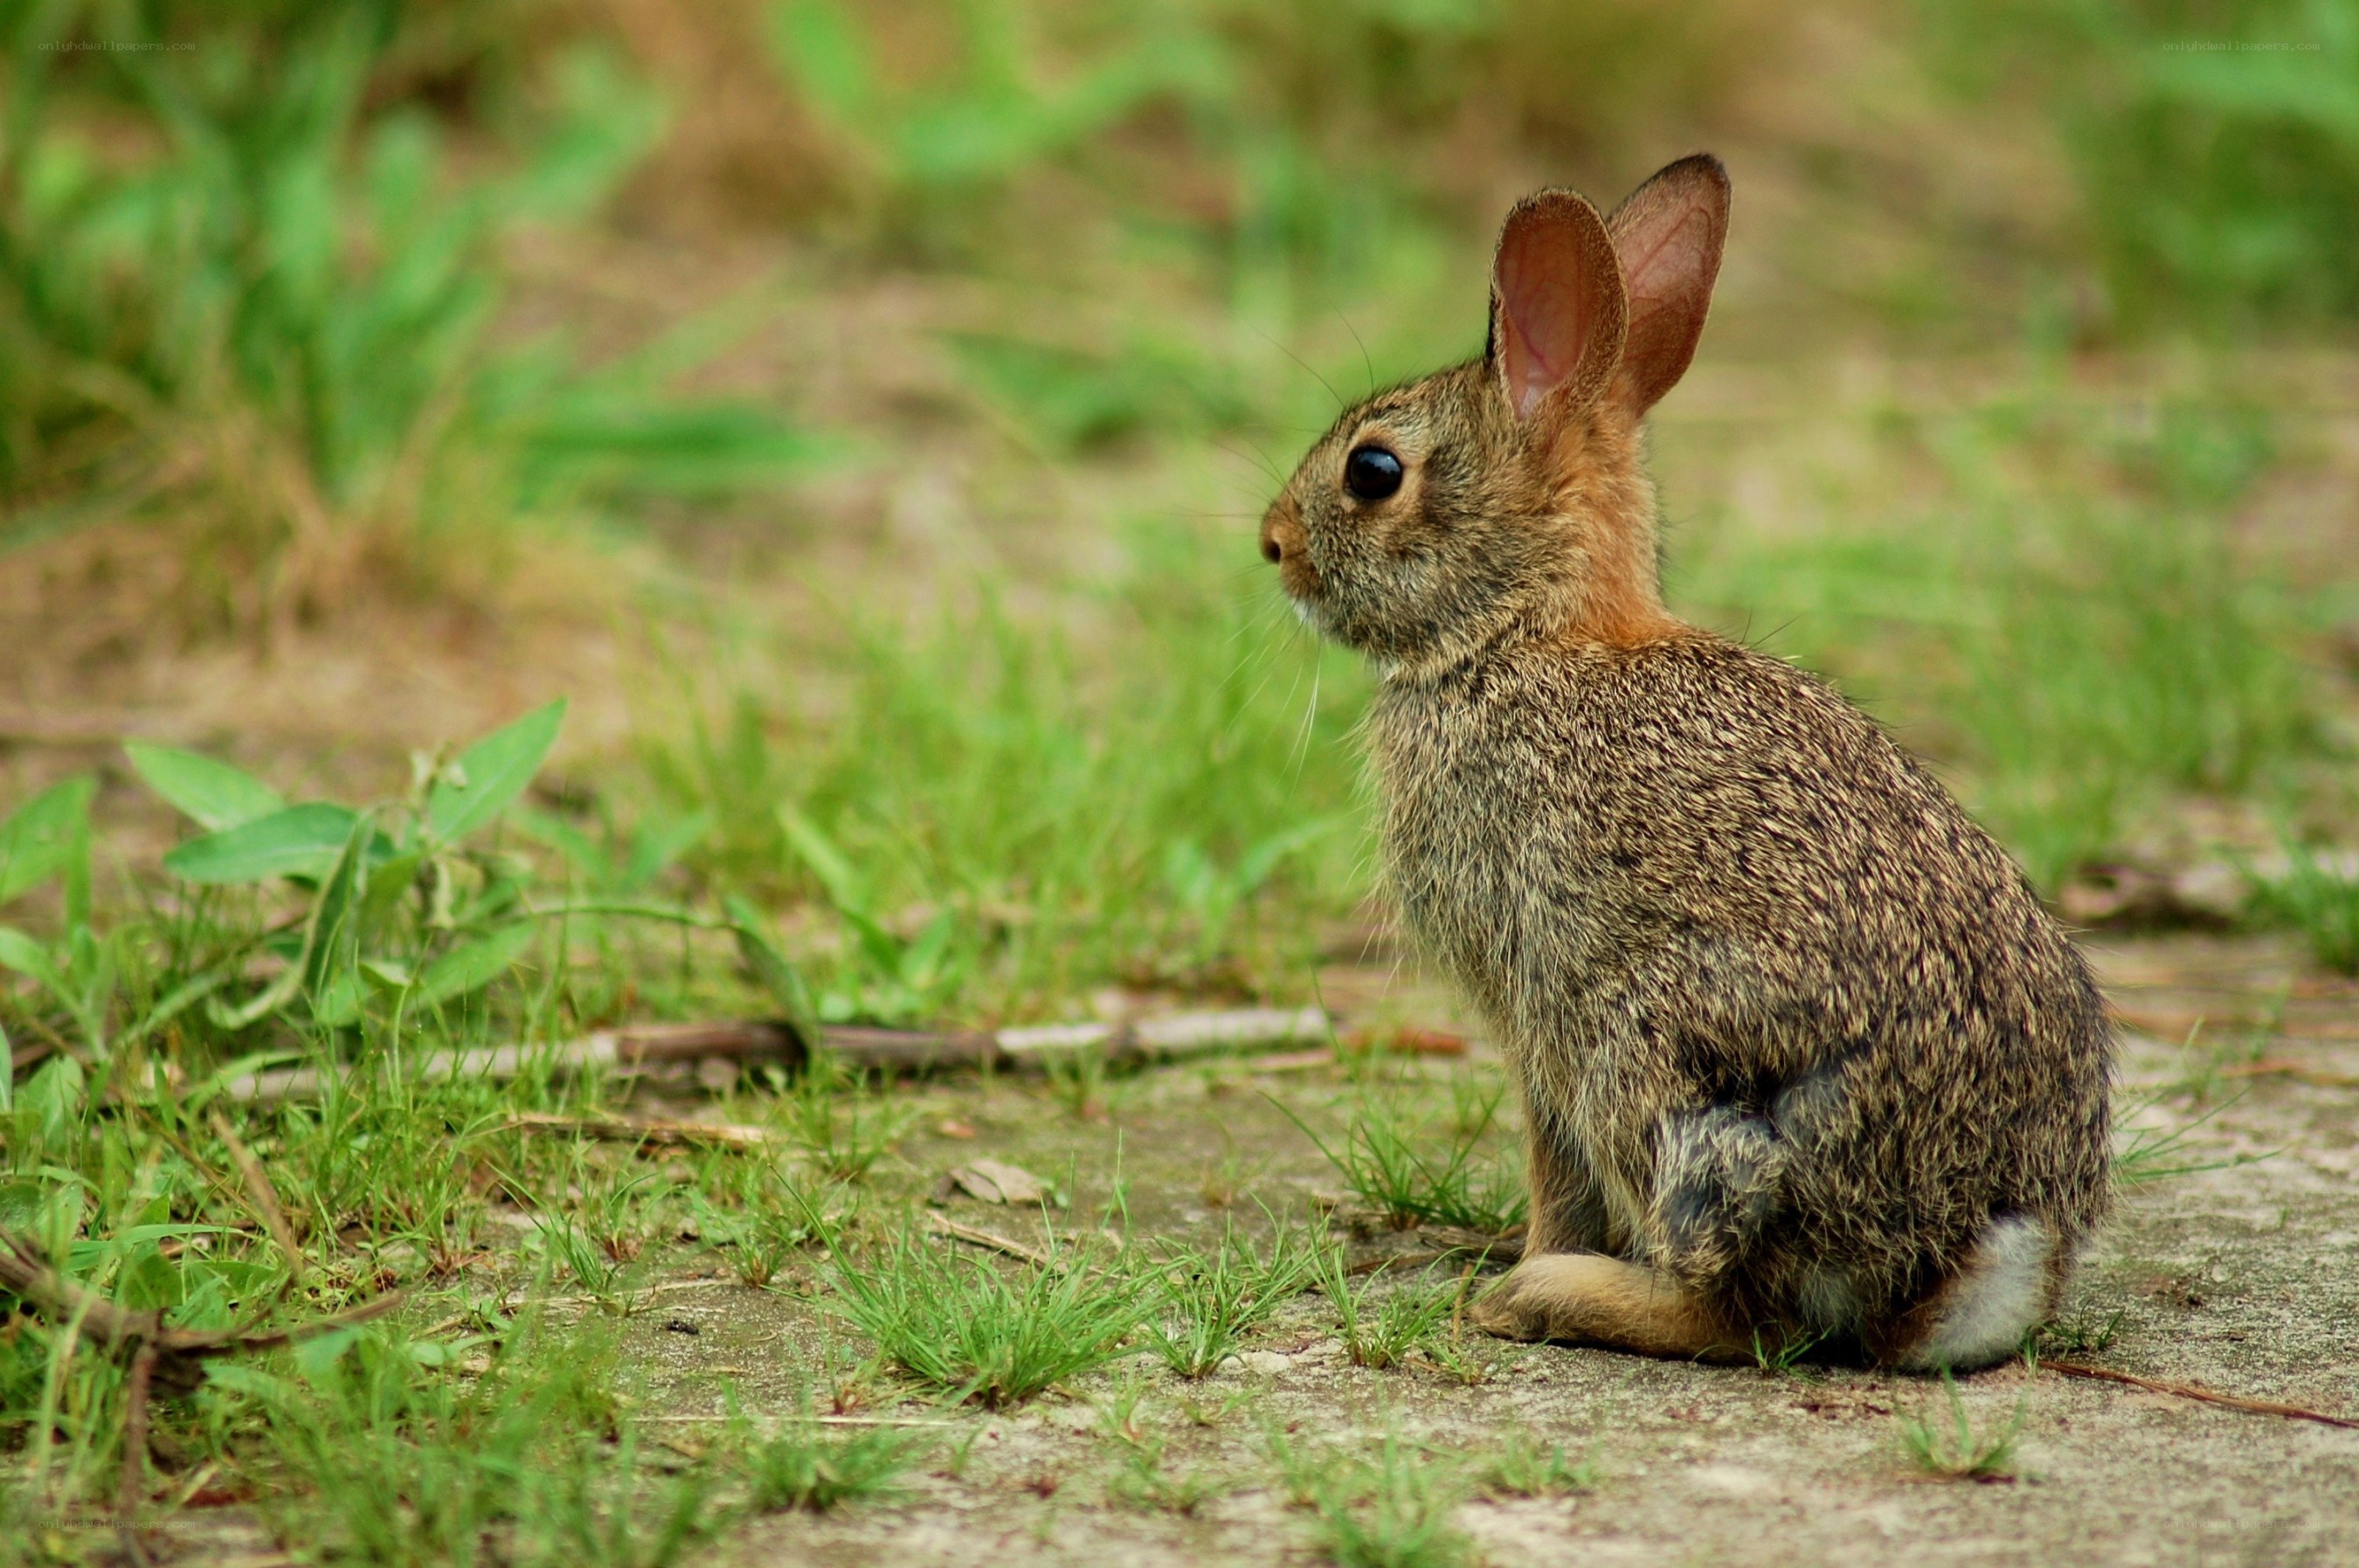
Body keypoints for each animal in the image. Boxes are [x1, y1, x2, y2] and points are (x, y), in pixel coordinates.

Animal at [1257, 154, 2112, 1369]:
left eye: (1374, 471)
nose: (1272, 543)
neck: (1525, 631)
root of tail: (1975, 1250)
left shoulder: (1535, 1002)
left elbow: (1552, 1165)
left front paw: (1521, 1261)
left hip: (1663, 1064)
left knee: (1741, 1310)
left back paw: (1547, 1295)